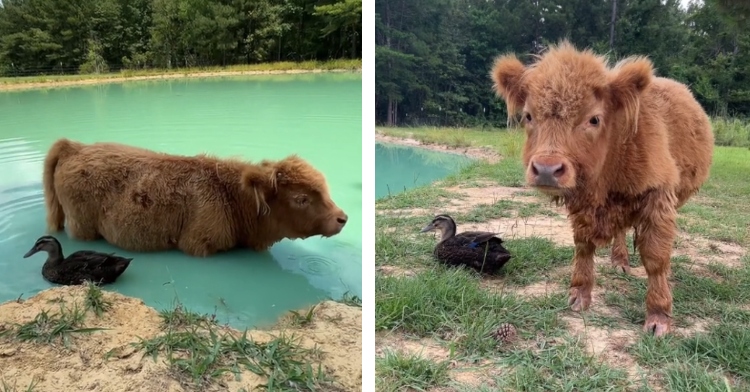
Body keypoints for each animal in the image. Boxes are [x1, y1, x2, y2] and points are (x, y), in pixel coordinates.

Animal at [40, 139, 346, 258]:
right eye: (301, 198)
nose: (342, 218)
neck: (231, 195)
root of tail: (74, 147)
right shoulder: (199, 246)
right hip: (83, 227)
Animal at [494, 40, 716, 336]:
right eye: (528, 116)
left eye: (594, 119)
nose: (546, 169)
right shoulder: (582, 205)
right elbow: (583, 246)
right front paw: (580, 294)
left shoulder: (659, 199)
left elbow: (655, 257)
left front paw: (658, 316)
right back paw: (619, 260)